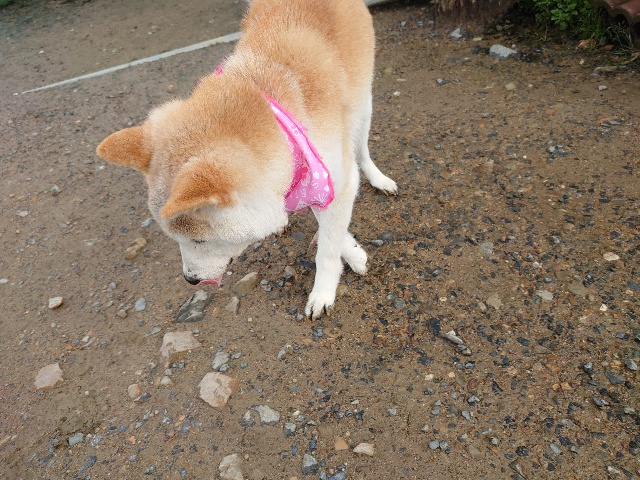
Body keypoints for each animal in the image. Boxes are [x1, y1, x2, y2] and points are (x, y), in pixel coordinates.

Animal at [96, 0, 397, 319]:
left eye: (199, 240)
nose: (190, 279)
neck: (274, 112)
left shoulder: (335, 177)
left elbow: (327, 248)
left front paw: (323, 291)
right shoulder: (313, 180)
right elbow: (327, 226)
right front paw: (350, 250)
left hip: (362, 105)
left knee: (362, 149)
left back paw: (378, 178)